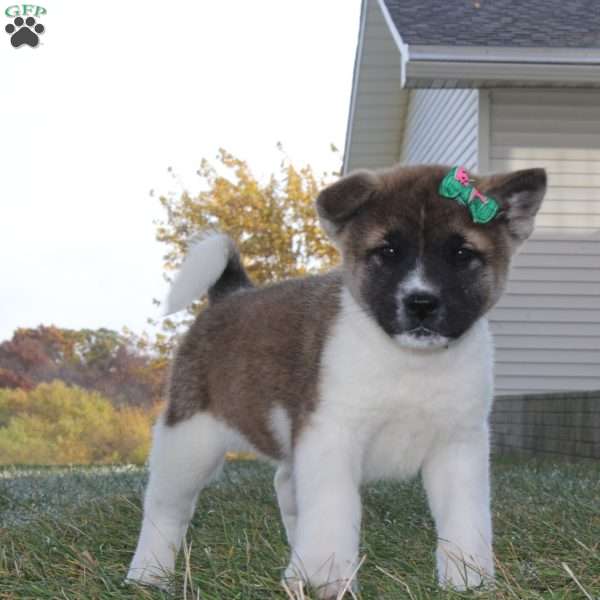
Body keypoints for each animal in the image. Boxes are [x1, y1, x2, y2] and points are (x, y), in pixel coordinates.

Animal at [127, 163, 548, 596]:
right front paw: (323, 577)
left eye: (462, 254)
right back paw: (148, 573)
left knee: (284, 484)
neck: (409, 361)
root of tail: (230, 294)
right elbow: (333, 509)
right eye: (388, 252)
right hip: (188, 441)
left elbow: (464, 517)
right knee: (165, 508)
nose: (421, 303)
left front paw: (468, 580)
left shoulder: (458, 445)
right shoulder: (331, 436)